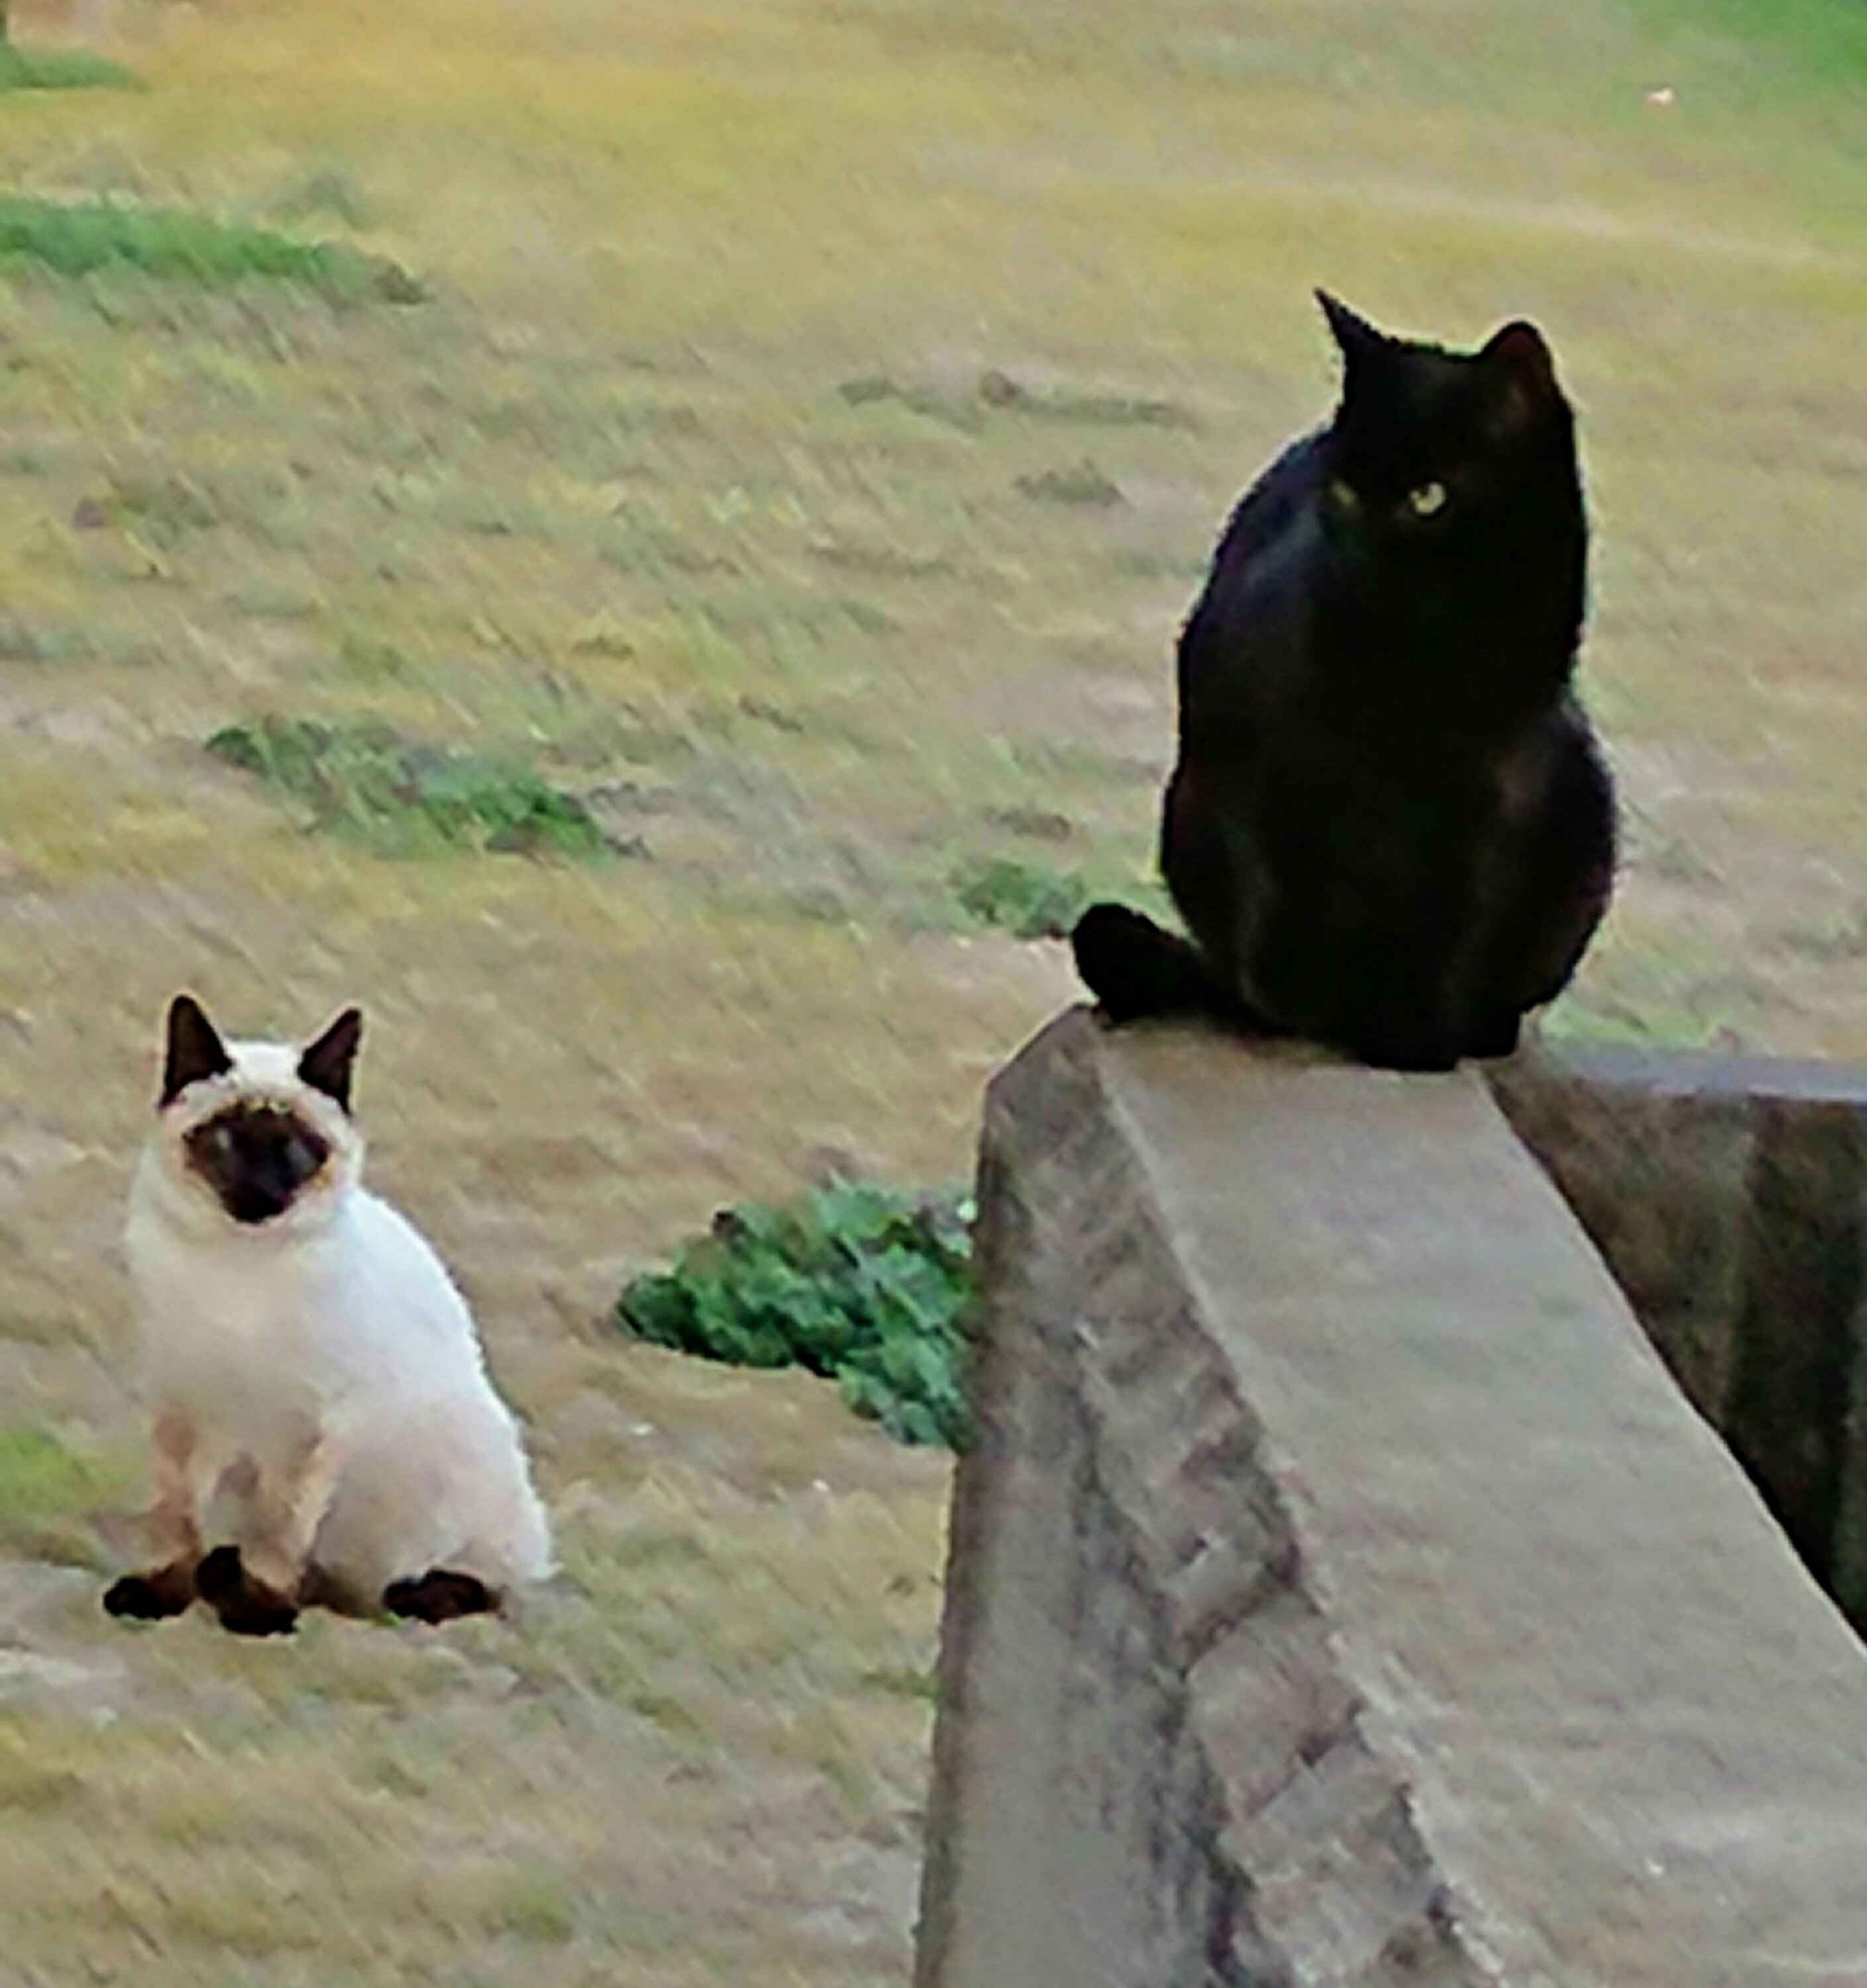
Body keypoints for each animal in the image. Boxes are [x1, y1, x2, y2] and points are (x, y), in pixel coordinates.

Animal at [104, 993, 553, 1637]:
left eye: (295, 1149)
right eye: (227, 1143)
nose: (262, 1193)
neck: (239, 1273)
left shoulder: (305, 1426)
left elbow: (278, 1535)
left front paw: (258, 1614)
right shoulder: (180, 1408)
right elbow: (177, 1520)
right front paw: (163, 1594)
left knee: (482, 1583)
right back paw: (223, 1575)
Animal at [1071, 291, 1617, 1072]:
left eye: (1428, 497)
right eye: (1346, 492)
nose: (1359, 551)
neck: (1426, 664)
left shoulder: (1497, 790)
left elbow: (1454, 914)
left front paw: (1415, 1036)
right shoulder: (1264, 764)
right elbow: (1282, 887)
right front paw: (1298, 1005)